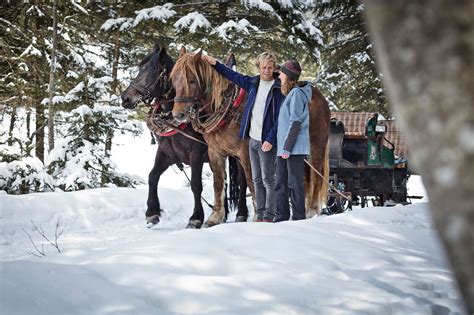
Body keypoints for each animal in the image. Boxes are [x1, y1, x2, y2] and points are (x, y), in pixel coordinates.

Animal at [121, 44, 248, 228]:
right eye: (139, 69)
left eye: (151, 72)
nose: (125, 98)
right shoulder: (166, 153)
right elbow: (152, 177)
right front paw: (152, 213)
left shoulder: (196, 154)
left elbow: (196, 185)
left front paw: (195, 218)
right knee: (222, 179)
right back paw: (222, 214)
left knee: (242, 180)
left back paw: (242, 214)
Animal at [172, 48, 332, 225]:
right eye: (174, 80)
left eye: (192, 80)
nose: (178, 115)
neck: (228, 110)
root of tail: (321, 99)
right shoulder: (215, 152)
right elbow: (218, 182)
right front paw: (215, 217)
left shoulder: (245, 152)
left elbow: (251, 181)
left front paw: (257, 217)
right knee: (305, 179)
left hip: (316, 146)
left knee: (316, 177)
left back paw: (312, 210)